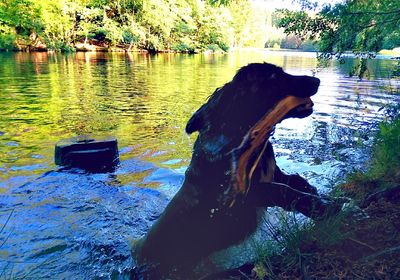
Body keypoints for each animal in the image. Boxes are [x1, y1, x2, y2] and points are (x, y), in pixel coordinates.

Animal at [134, 61, 340, 278]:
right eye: (274, 77)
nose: (317, 80)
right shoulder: (244, 196)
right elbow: (284, 192)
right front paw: (325, 210)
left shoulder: (274, 174)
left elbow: (296, 181)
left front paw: (319, 197)